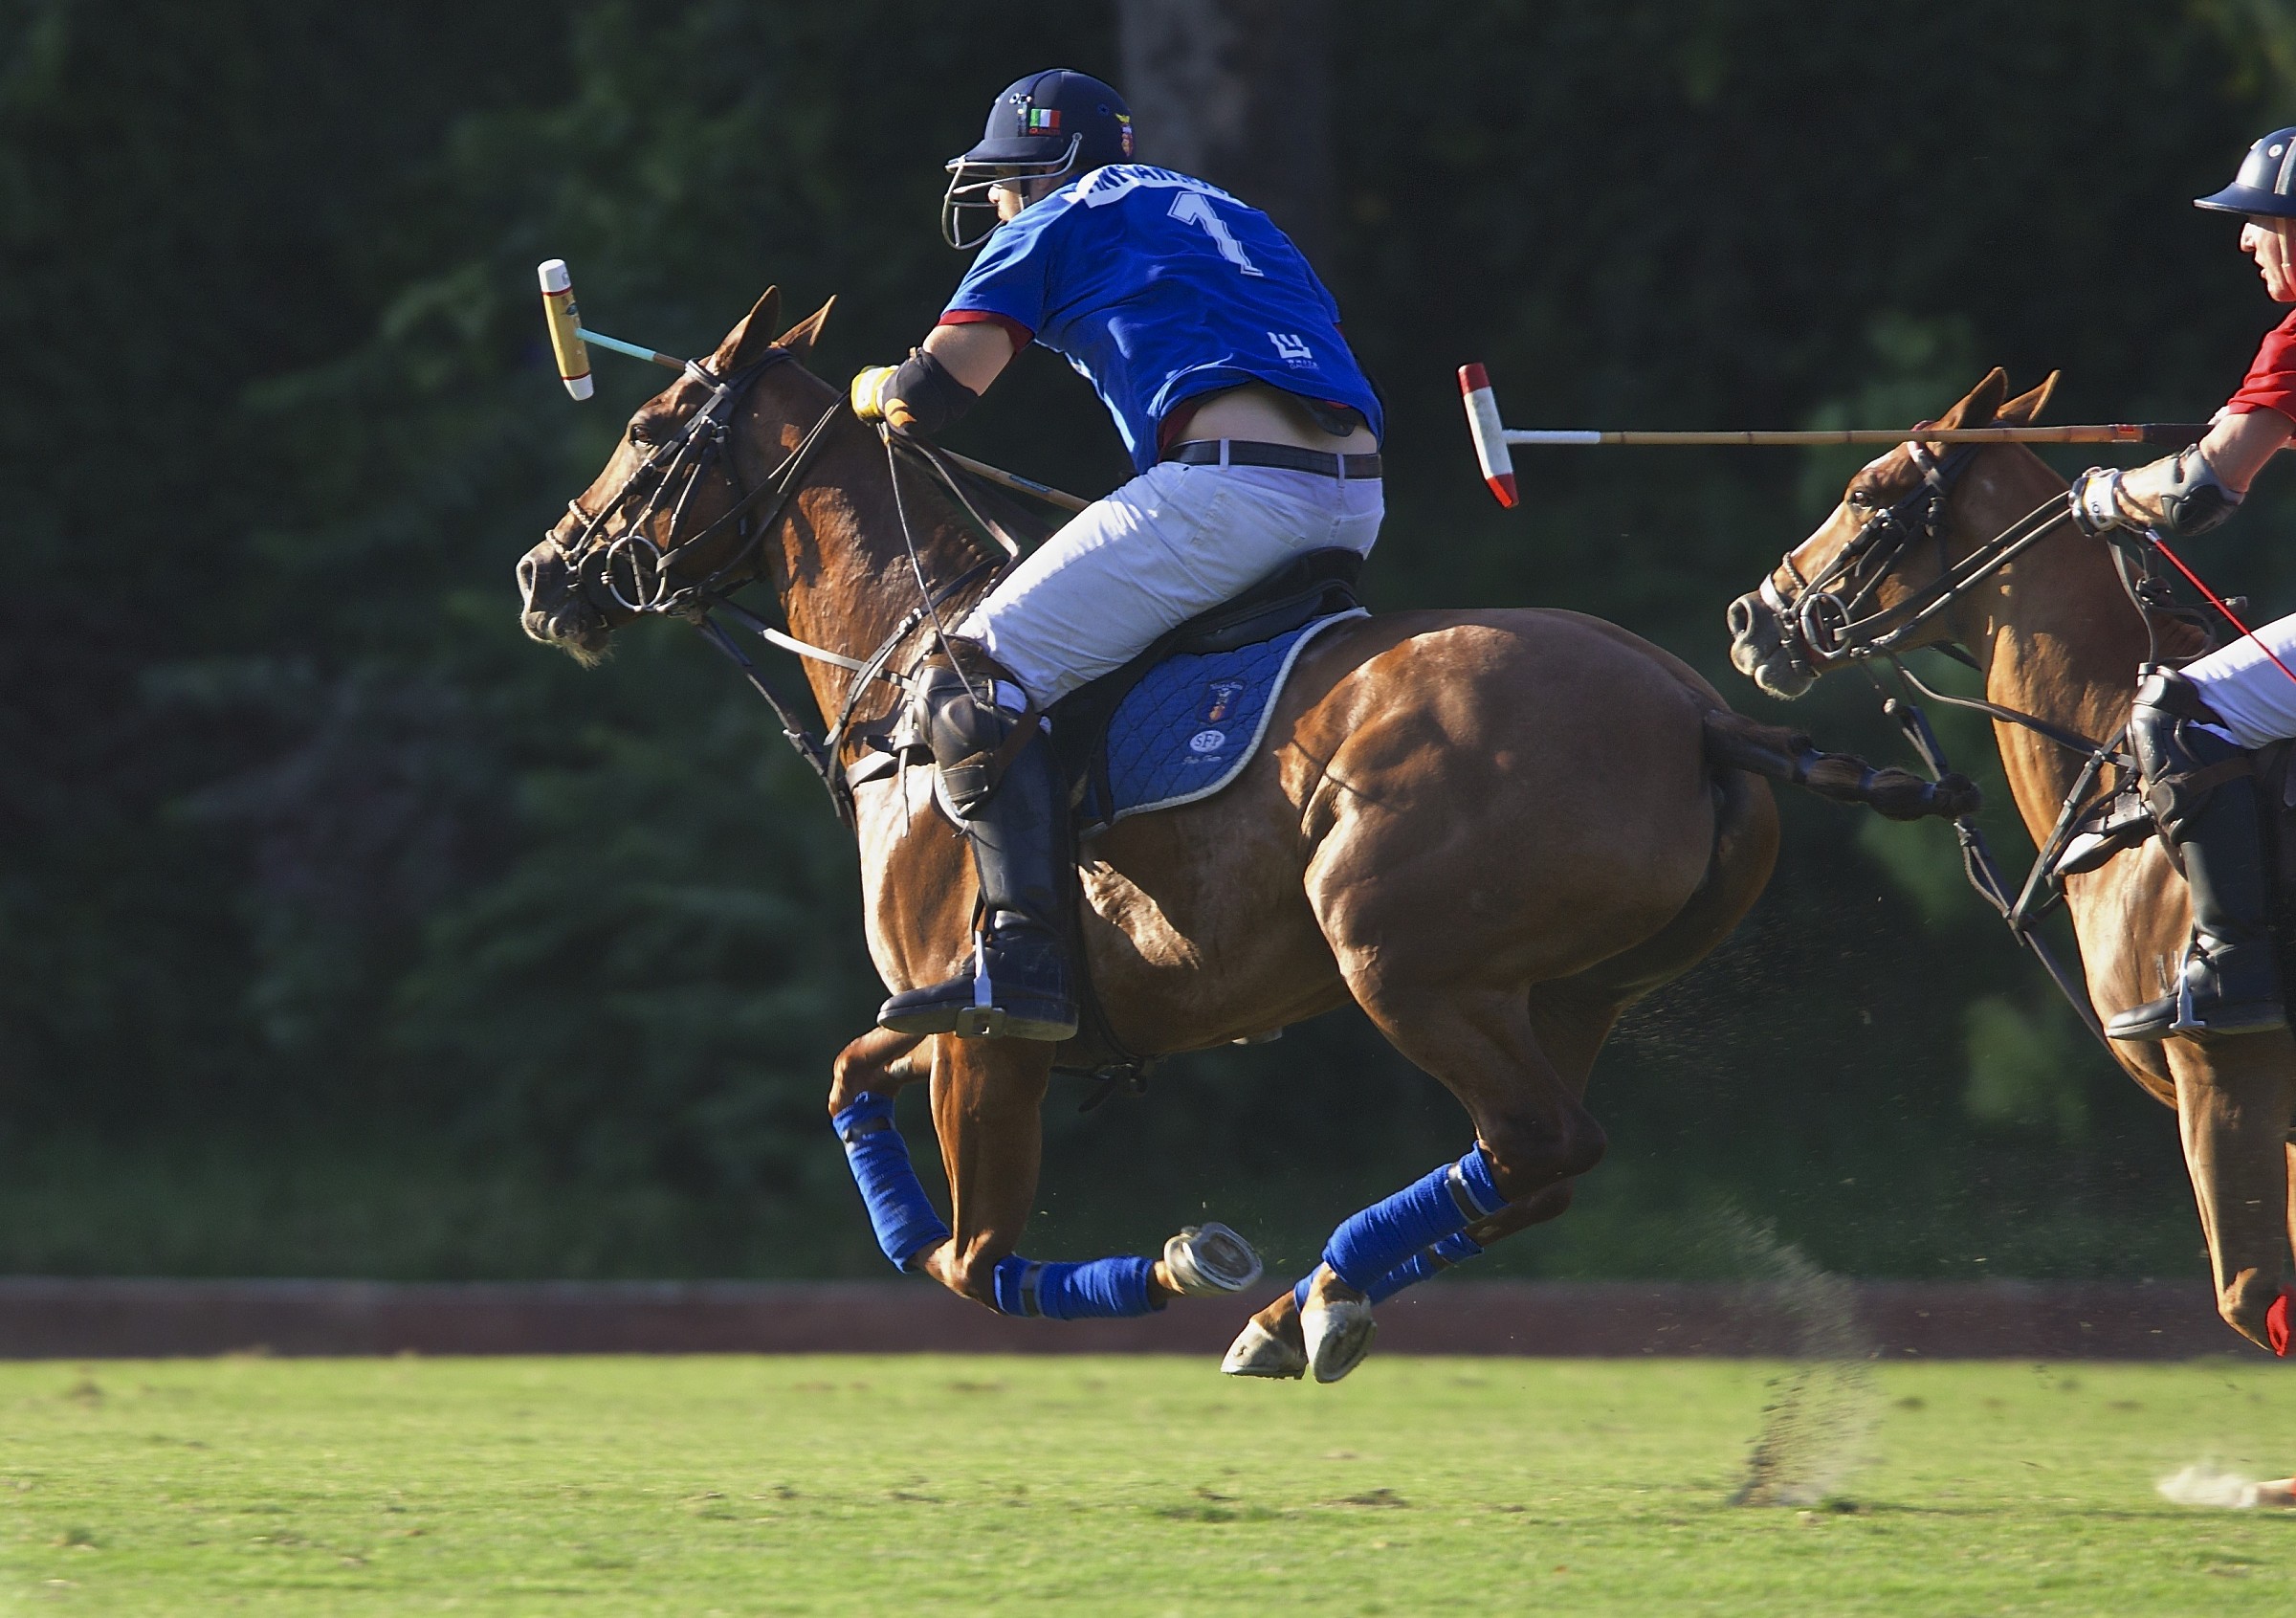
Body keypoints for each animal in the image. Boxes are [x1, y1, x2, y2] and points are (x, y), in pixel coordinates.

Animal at [516, 285, 1781, 1379]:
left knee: (1537, 1142)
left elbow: (969, 1262)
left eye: (645, 430)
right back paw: (1306, 1303)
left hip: (1405, 965)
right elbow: (848, 1077)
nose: (541, 572)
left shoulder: (990, 1032)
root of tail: (1702, 715)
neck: (904, 659)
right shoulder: (954, 1015)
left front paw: (1178, 1261)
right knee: (1539, 1165)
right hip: (1571, 990)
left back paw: (1302, 1295)